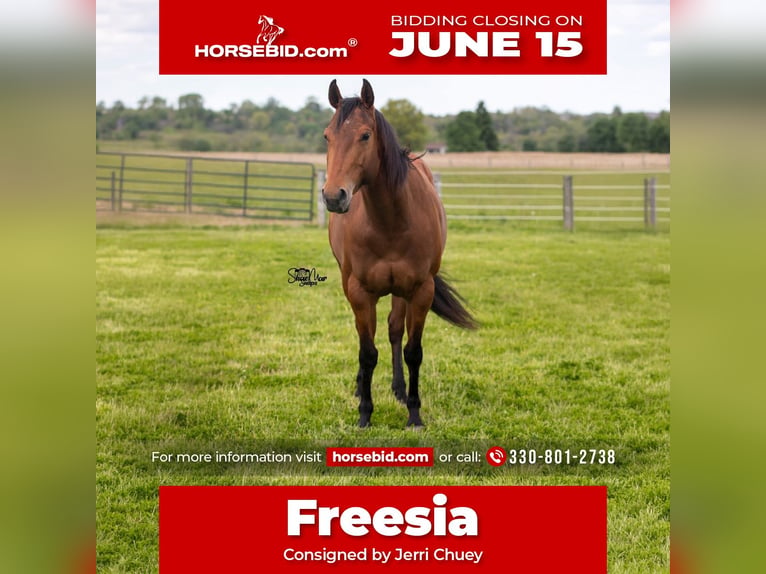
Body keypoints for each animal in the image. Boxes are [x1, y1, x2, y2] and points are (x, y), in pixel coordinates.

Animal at [322, 79, 477, 428]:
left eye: (365, 135)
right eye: (327, 136)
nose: (333, 196)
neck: (390, 222)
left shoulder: (420, 291)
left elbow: (412, 351)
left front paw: (414, 414)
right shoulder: (359, 292)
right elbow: (367, 352)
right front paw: (364, 414)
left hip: (401, 292)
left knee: (394, 330)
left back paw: (399, 389)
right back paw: (360, 388)